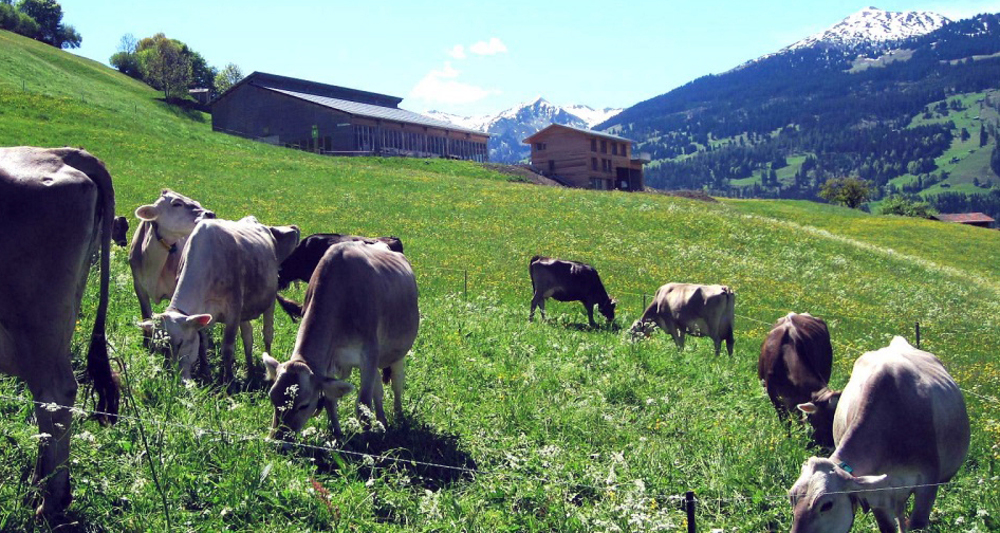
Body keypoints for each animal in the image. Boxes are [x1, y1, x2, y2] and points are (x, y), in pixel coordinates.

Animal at [129, 189, 215, 346]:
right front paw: (146, 343)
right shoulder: (138, 285)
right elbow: (146, 316)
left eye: (197, 202)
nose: (210, 214)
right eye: (176, 204)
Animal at [141, 216, 299, 382]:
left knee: (267, 333)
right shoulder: (203, 314)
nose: (174, 379)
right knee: (247, 336)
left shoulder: (233, 310)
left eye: (180, 343)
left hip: (269, 300)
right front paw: (206, 372)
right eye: (159, 348)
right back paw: (249, 369)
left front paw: (229, 380)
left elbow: (227, 348)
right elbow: (202, 345)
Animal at [263, 241, 419, 441]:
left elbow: (363, 406)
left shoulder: (369, 354)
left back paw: (398, 417)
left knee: (397, 384)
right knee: (378, 390)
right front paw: (338, 436)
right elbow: (331, 401)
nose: (277, 438)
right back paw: (382, 421)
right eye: (272, 398)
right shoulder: (329, 361)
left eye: (303, 405)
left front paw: (368, 441)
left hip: (396, 353)